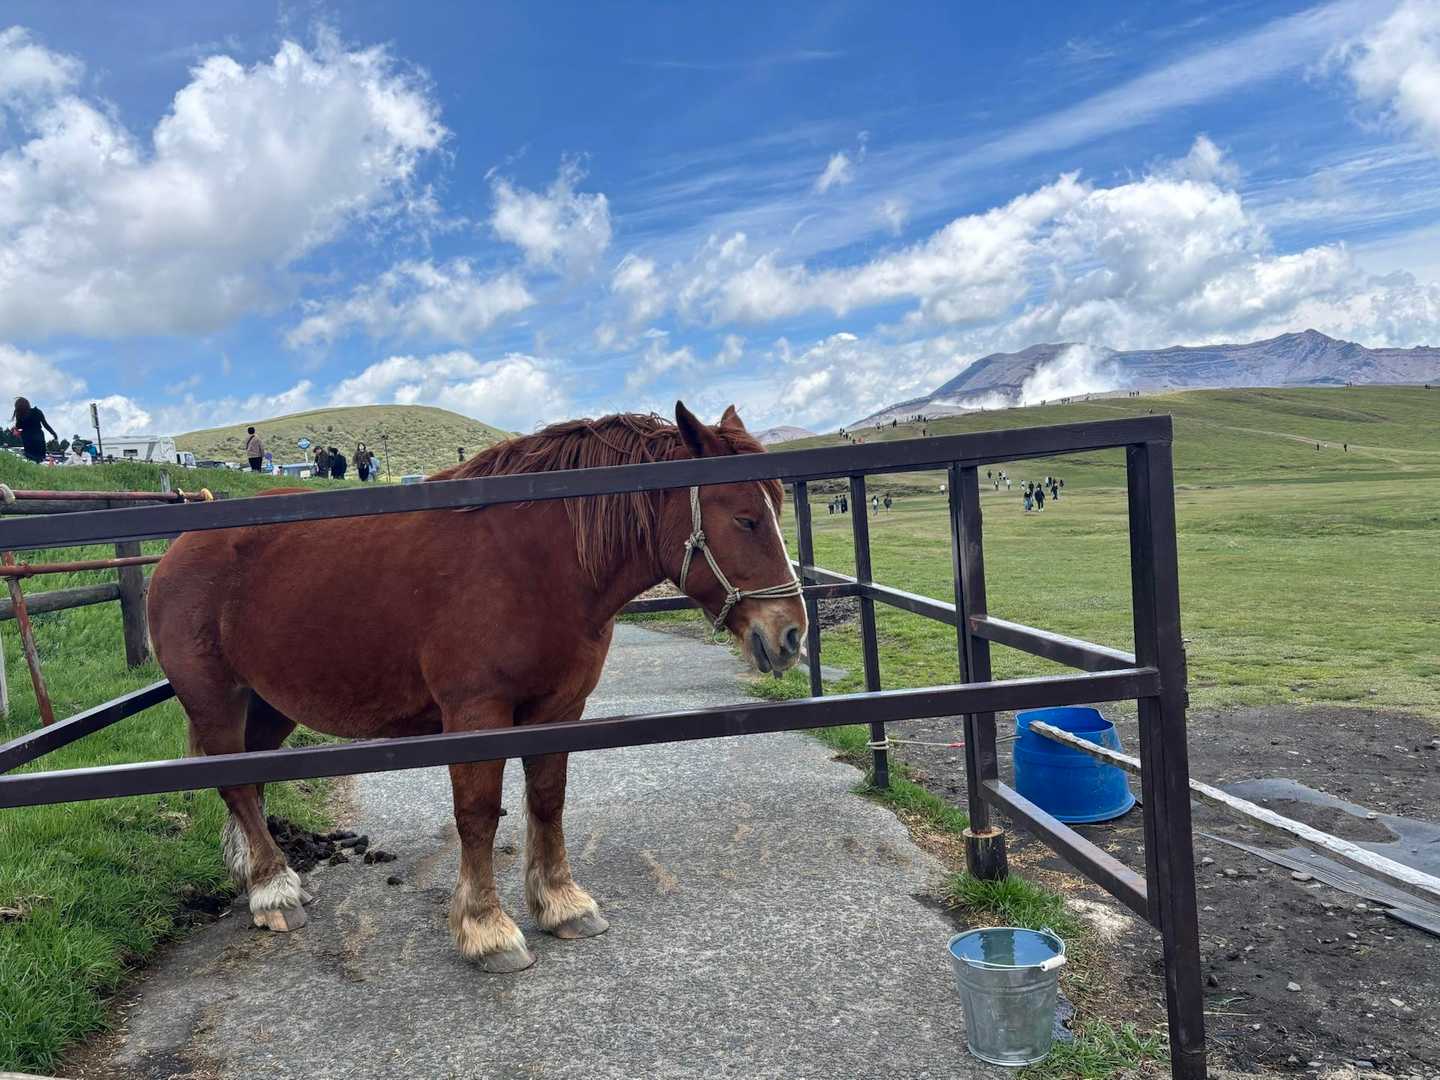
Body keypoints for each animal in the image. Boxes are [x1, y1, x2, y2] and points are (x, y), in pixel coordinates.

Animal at [146, 402, 807, 972]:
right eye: (745, 518)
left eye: (775, 508)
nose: (791, 635)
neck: (535, 564)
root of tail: (179, 548)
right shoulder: (475, 714)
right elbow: (479, 814)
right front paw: (487, 929)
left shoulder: (560, 707)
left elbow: (547, 799)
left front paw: (561, 904)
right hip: (216, 700)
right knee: (235, 781)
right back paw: (273, 891)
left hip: (268, 705)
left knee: (251, 779)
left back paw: (258, 873)